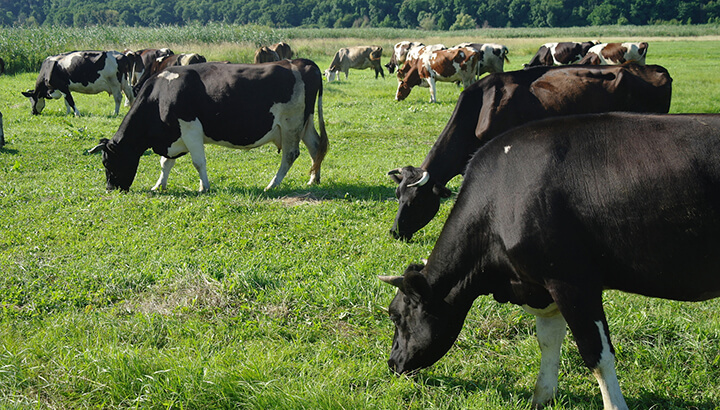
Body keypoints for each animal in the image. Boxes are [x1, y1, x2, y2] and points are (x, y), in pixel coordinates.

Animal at [88, 59, 328, 193]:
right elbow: (165, 163)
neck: (160, 95)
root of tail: (303, 62)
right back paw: (313, 179)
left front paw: (204, 187)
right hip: (305, 123)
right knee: (316, 147)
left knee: (291, 154)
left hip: (290, 124)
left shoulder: (190, 129)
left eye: (107, 162)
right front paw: (159, 185)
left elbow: (198, 162)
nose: (110, 189)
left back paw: (272, 184)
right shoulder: (173, 135)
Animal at [380, 112, 720, 410]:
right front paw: (542, 396)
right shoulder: (542, 283)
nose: (393, 363)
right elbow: (547, 341)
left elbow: (597, 354)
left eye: (396, 316)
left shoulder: (572, 281)